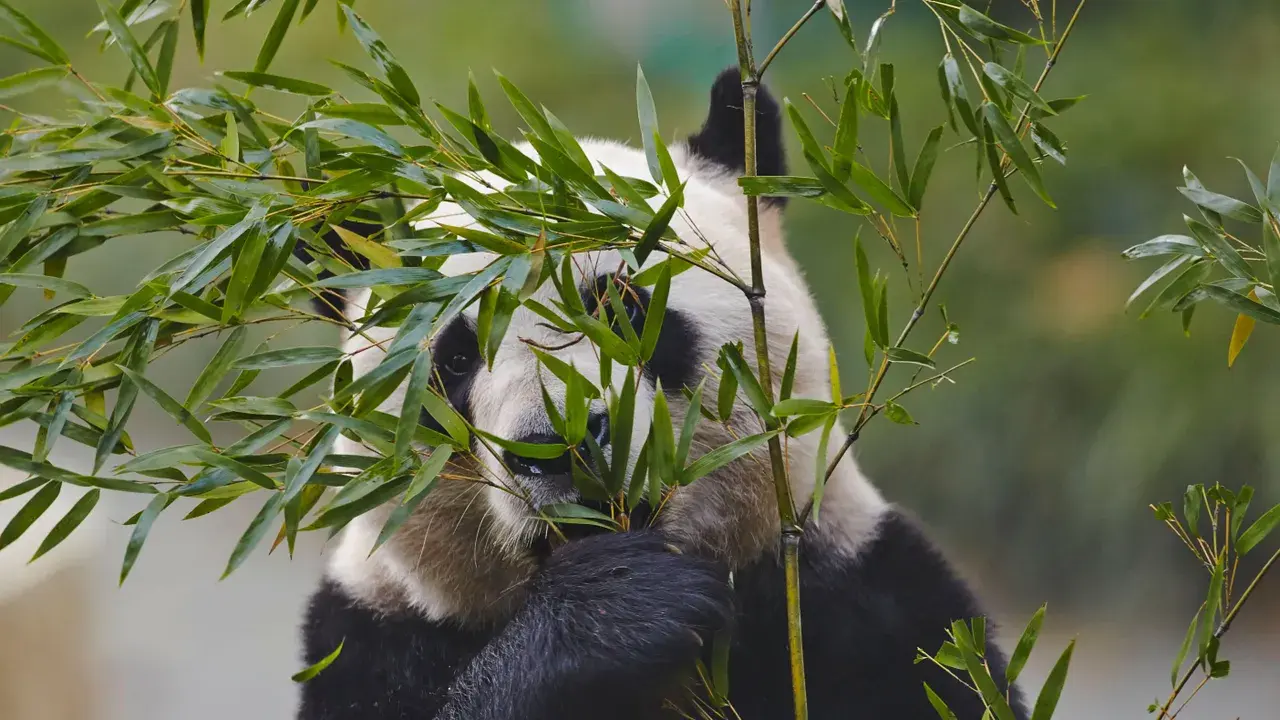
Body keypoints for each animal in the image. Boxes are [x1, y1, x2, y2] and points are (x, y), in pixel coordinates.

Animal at [296, 68, 1027, 720]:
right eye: (453, 358)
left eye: (622, 309)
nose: (557, 445)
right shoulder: (376, 638)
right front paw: (611, 615)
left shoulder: (856, 598)